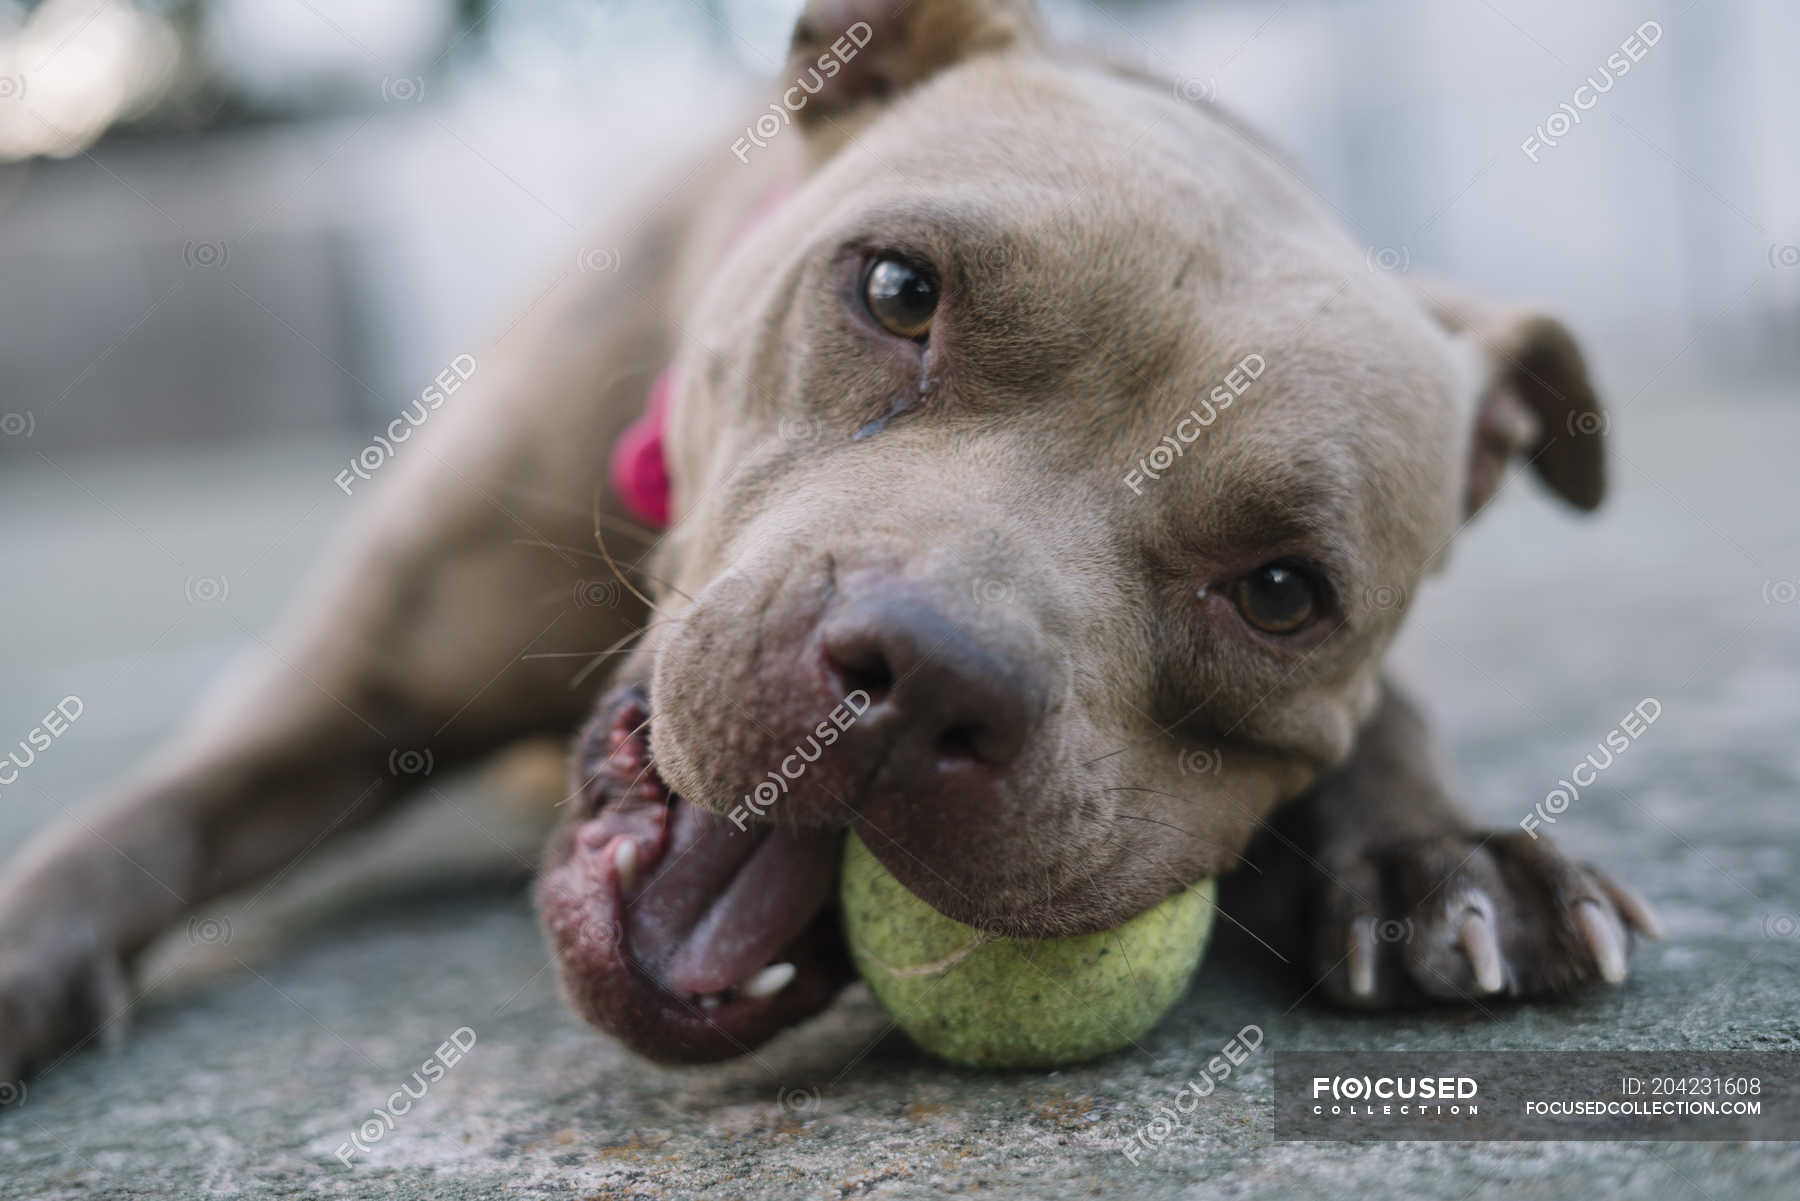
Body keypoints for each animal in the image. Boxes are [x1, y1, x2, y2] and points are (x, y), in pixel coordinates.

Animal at [0, 0, 1656, 1080]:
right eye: (897, 290)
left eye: (1282, 592)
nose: (925, 681)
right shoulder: (342, 691)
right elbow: (137, 822)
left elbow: (1386, 719)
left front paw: (1434, 856)